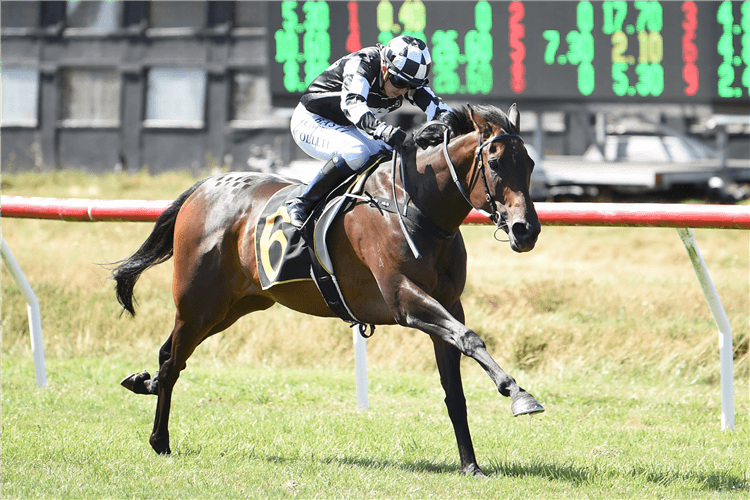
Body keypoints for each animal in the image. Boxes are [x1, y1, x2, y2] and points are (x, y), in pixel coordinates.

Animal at [114, 102, 544, 476]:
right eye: (494, 163)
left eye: (529, 163)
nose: (526, 230)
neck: (416, 205)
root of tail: (205, 187)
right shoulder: (405, 299)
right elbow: (470, 339)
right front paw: (519, 394)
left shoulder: (449, 305)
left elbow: (455, 387)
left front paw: (471, 465)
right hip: (198, 301)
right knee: (173, 363)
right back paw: (159, 439)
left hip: (232, 307)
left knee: (169, 353)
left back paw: (143, 383)